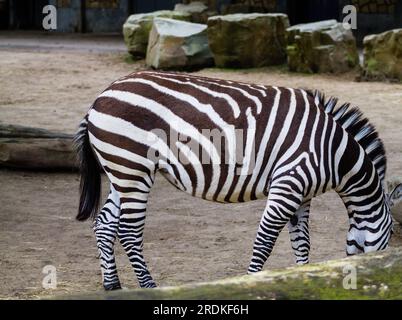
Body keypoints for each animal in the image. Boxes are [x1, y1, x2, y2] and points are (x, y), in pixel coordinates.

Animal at [75, 70, 402, 290]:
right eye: (390, 239)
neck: (333, 151)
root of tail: (99, 97)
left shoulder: (302, 194)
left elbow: (302, 243)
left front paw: (302, 277)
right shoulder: (288, 184)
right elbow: (265, 241)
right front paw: (252, 282)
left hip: (122, 171)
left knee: (104, 223)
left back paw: (113, 286)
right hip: (133, 169)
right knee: (129, 232)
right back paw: (150, 289)